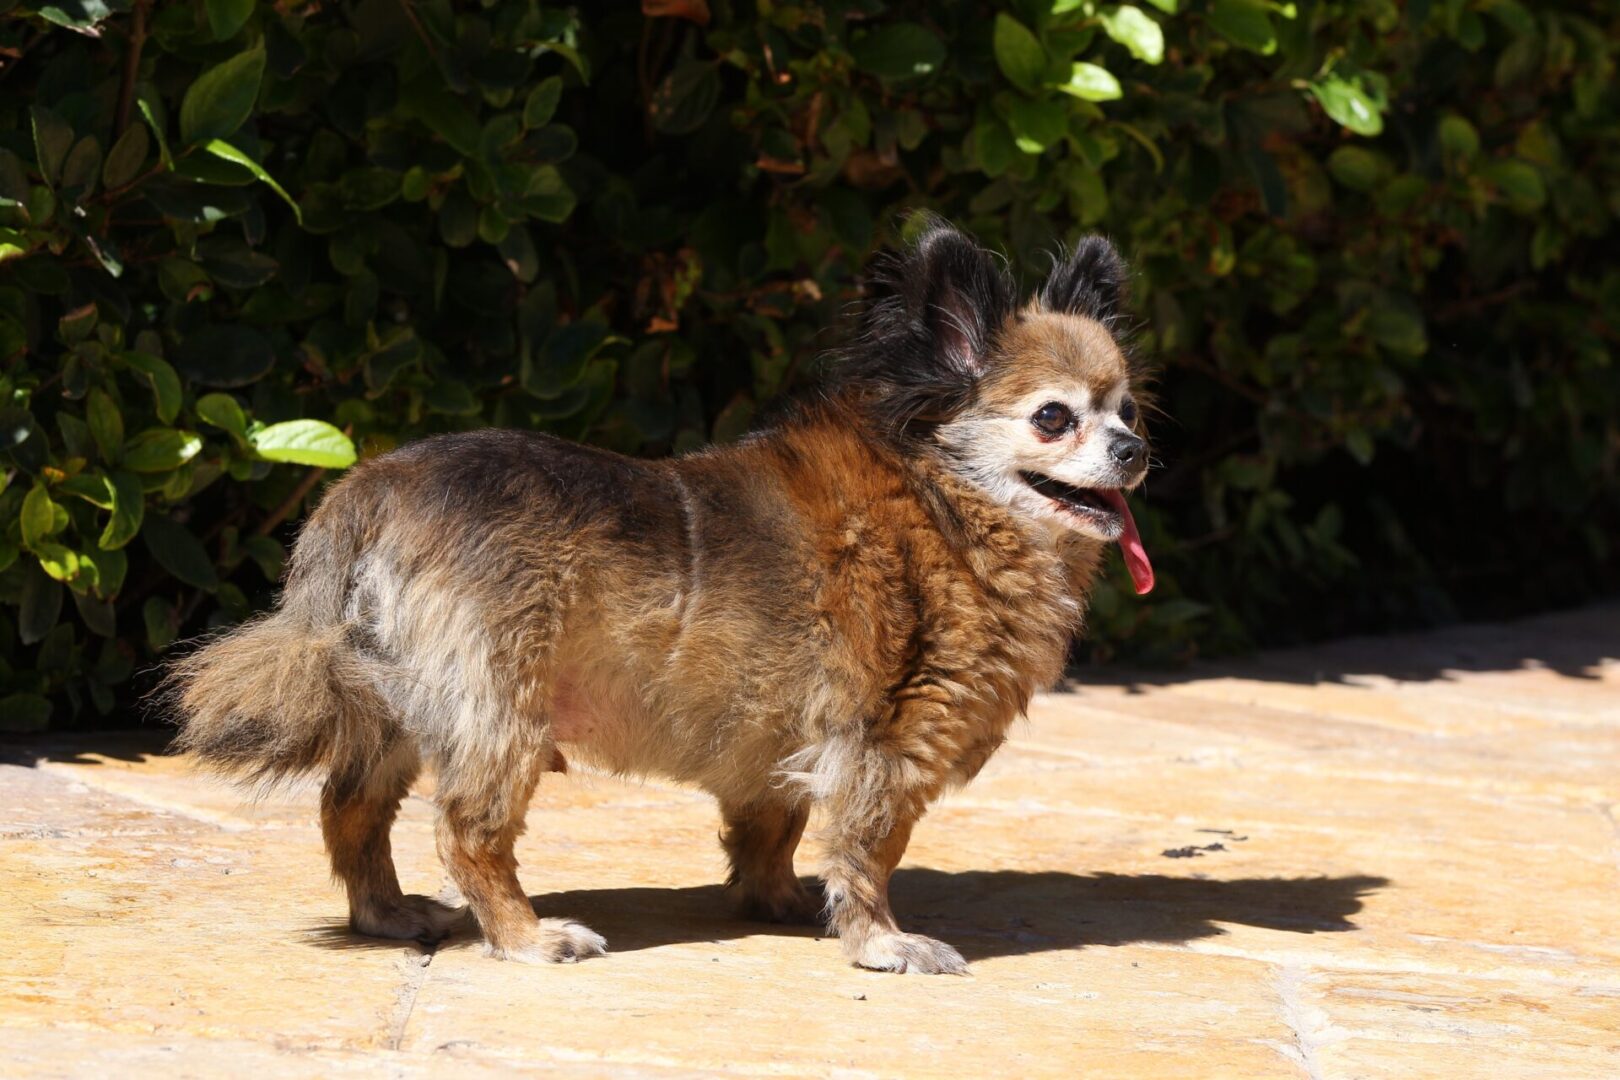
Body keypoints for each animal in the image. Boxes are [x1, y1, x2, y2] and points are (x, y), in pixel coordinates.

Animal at [170, 215, 1159, 977]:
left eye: (1129, 413)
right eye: (1054, 418)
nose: (1136, 452)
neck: (940, 496)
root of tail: (371, 488)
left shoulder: (781, 739)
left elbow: (774, 827)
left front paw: (779, 901)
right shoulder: (889, 742)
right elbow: (867, 850)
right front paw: (880, 941)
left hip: (397, 707)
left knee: (352, 811)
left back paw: (388, 914)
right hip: (500, 713)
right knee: (466, 835)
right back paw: (527, 936)